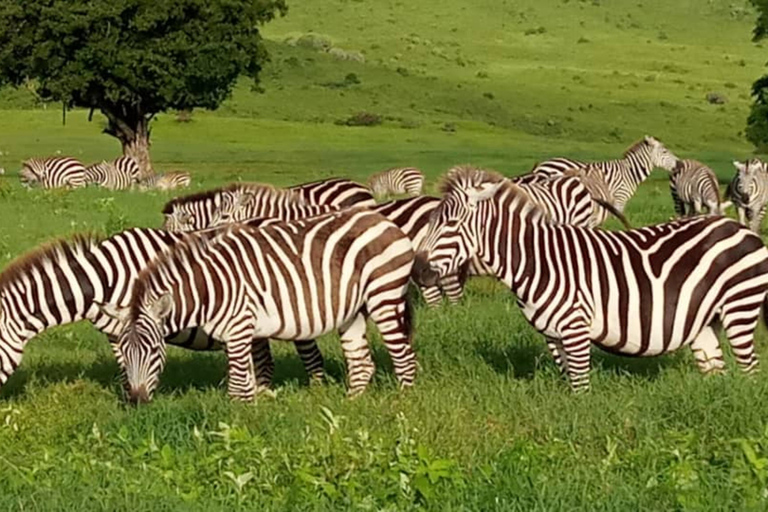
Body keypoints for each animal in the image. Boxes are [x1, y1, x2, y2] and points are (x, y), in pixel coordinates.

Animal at [111, 208, 416, 404]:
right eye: (123, 353)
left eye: (154, 350)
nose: (136, 401)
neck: (210, 286)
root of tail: (383, 220)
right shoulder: (238, 333)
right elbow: (246, 381)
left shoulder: (239, 326)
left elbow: (237, 386)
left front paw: (235, 429)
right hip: (354, 311)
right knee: (362, 364)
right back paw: (351, 406)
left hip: (384, 294)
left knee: (404, 358)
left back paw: (402, 407)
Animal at [414, 168, 768, 392]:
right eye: (431, 222)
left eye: (451, 224)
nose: (417, 270)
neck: (536, 261)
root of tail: (744, 230)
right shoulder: (552, 334)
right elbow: (569, 383)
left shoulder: (575, 327)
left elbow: (581, 390)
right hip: (706, 322)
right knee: (717, 373)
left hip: (739, 308)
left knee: (750, 370)